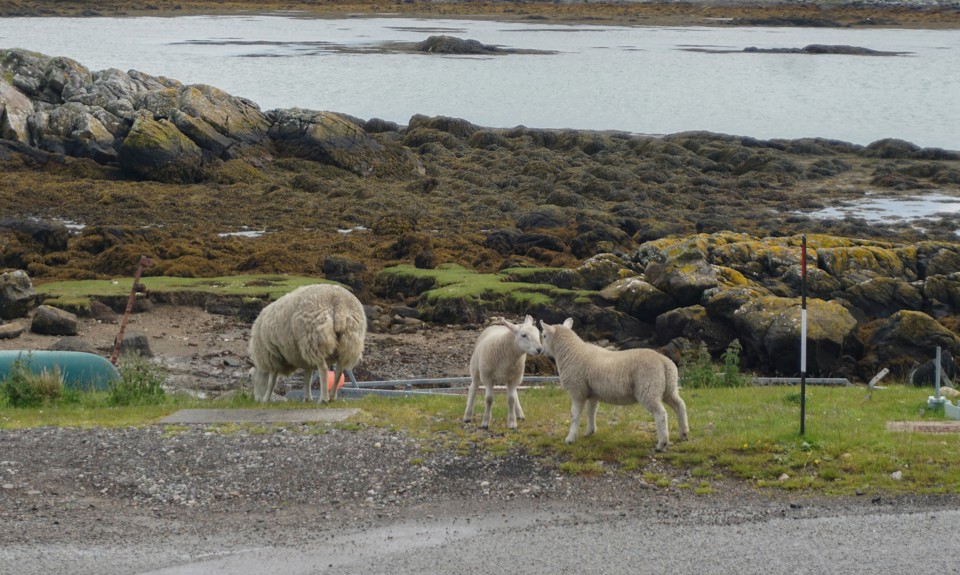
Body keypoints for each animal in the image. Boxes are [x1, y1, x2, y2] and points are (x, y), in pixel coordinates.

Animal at [539, 318, 689, 451]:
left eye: (544, 335)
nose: (540, 351)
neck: (571, 352)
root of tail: (664, 362)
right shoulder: (592, 393)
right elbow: (591, 411)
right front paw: (590, 431)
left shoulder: (577, 391)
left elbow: (574, 415)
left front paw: (570, 438)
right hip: (668, 388)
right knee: (680, 405)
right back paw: (684, 434)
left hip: (649, 388)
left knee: (661, 414)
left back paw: (662, 443)